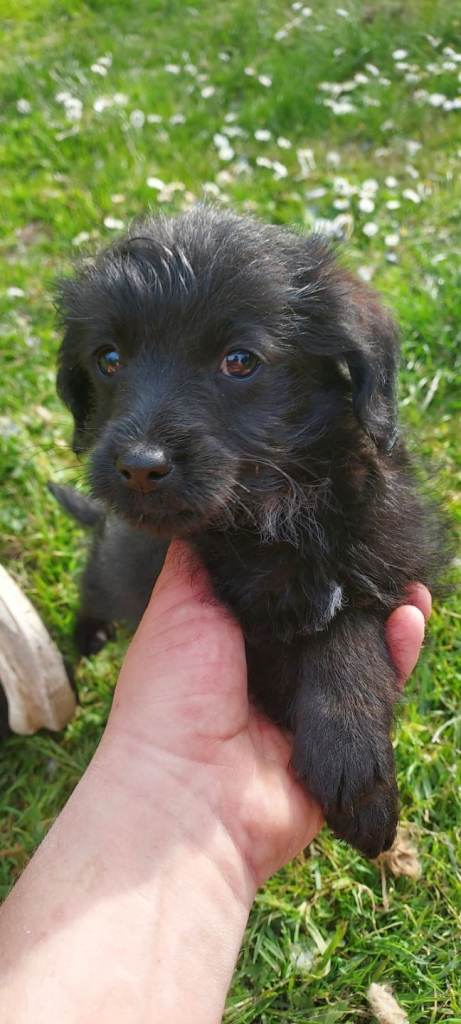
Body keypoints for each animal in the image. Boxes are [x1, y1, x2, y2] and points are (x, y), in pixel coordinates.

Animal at [53, 206, 447, 857]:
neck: (276, 508)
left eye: (240, 361)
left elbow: (349, 622)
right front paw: (359, 776)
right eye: (108, 359)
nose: (139, 466)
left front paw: (353, 757)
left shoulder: (391, 551)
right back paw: (87, 636)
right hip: (111, 569)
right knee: (92, 583)